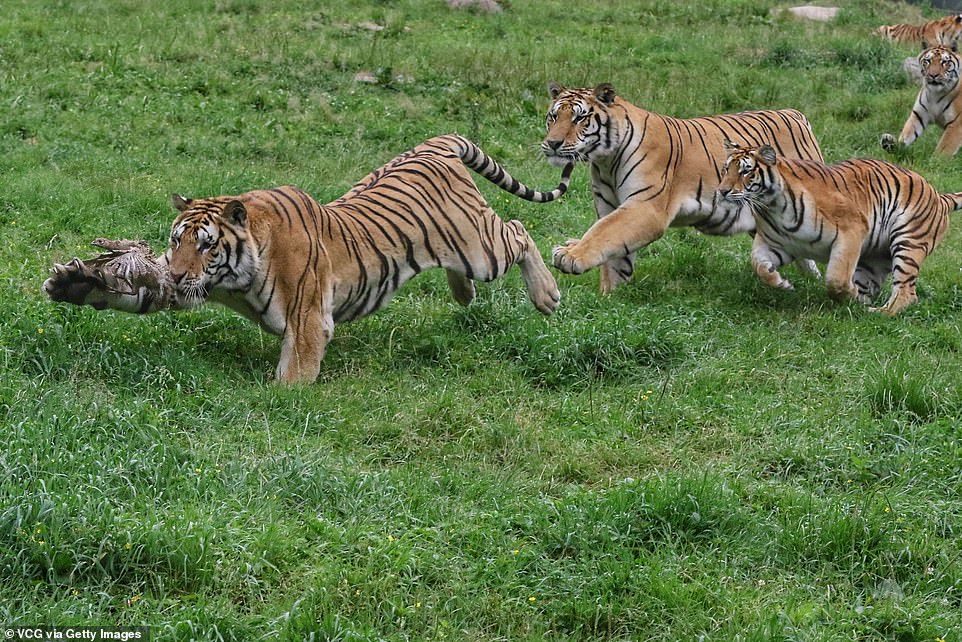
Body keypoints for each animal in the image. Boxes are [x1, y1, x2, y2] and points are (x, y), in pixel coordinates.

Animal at [45, 135, 568, 382]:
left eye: (208, 244)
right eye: (177, 241)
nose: (172, 274)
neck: (235, 276)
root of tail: (434, 145)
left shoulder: (308, 317)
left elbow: (294, 373)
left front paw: (283, 401)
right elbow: (132, 295)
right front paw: (75, 285)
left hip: (482, 248)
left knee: (519, 231)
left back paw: (546, 295)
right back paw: (464, 295)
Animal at [540, 83, 824, 296]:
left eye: (579, 117)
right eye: (554, 116)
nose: (552, 143)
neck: (605, 160)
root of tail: (795, 113)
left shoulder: (645, 207)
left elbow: (603, 232)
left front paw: (570, 255)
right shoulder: (611, 205)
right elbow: (614, 253)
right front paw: (610, 297)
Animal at [716, 140, 956, 316]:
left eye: (746, 172)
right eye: (727, 169)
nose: (722, 191)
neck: (772, 206)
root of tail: (939, 196)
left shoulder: (852, 231)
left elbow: (836, 278)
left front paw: (847, 292)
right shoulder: (776, 243)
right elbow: (758, 265)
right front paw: (782, 283)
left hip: (908, 243)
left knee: (907, 292)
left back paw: (878, 312)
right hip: (875, 258)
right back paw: (859, 306)